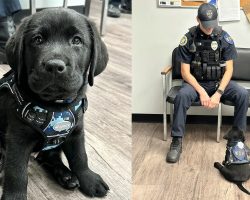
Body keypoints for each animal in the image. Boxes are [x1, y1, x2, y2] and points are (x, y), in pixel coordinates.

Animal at [0, 7, 109, 198]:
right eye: (37, 39)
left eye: (77, 40)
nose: (54, 66)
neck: (56, 105)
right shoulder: (17, 139)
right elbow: (16, 172)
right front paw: (14, 197)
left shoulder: (76, 132)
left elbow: (80, 157)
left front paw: (89, 179)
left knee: (48, 156)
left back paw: (66, 176)